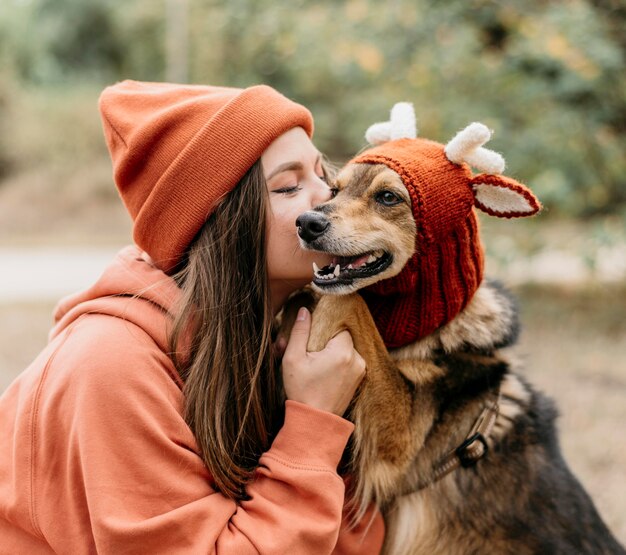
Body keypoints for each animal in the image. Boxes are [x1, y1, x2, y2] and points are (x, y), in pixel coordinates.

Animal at [280, 105, 624, 555]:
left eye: (388, 197)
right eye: (333, 192)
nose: (306, 223)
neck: (415, 333)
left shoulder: (400, 443)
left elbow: (347, 301)